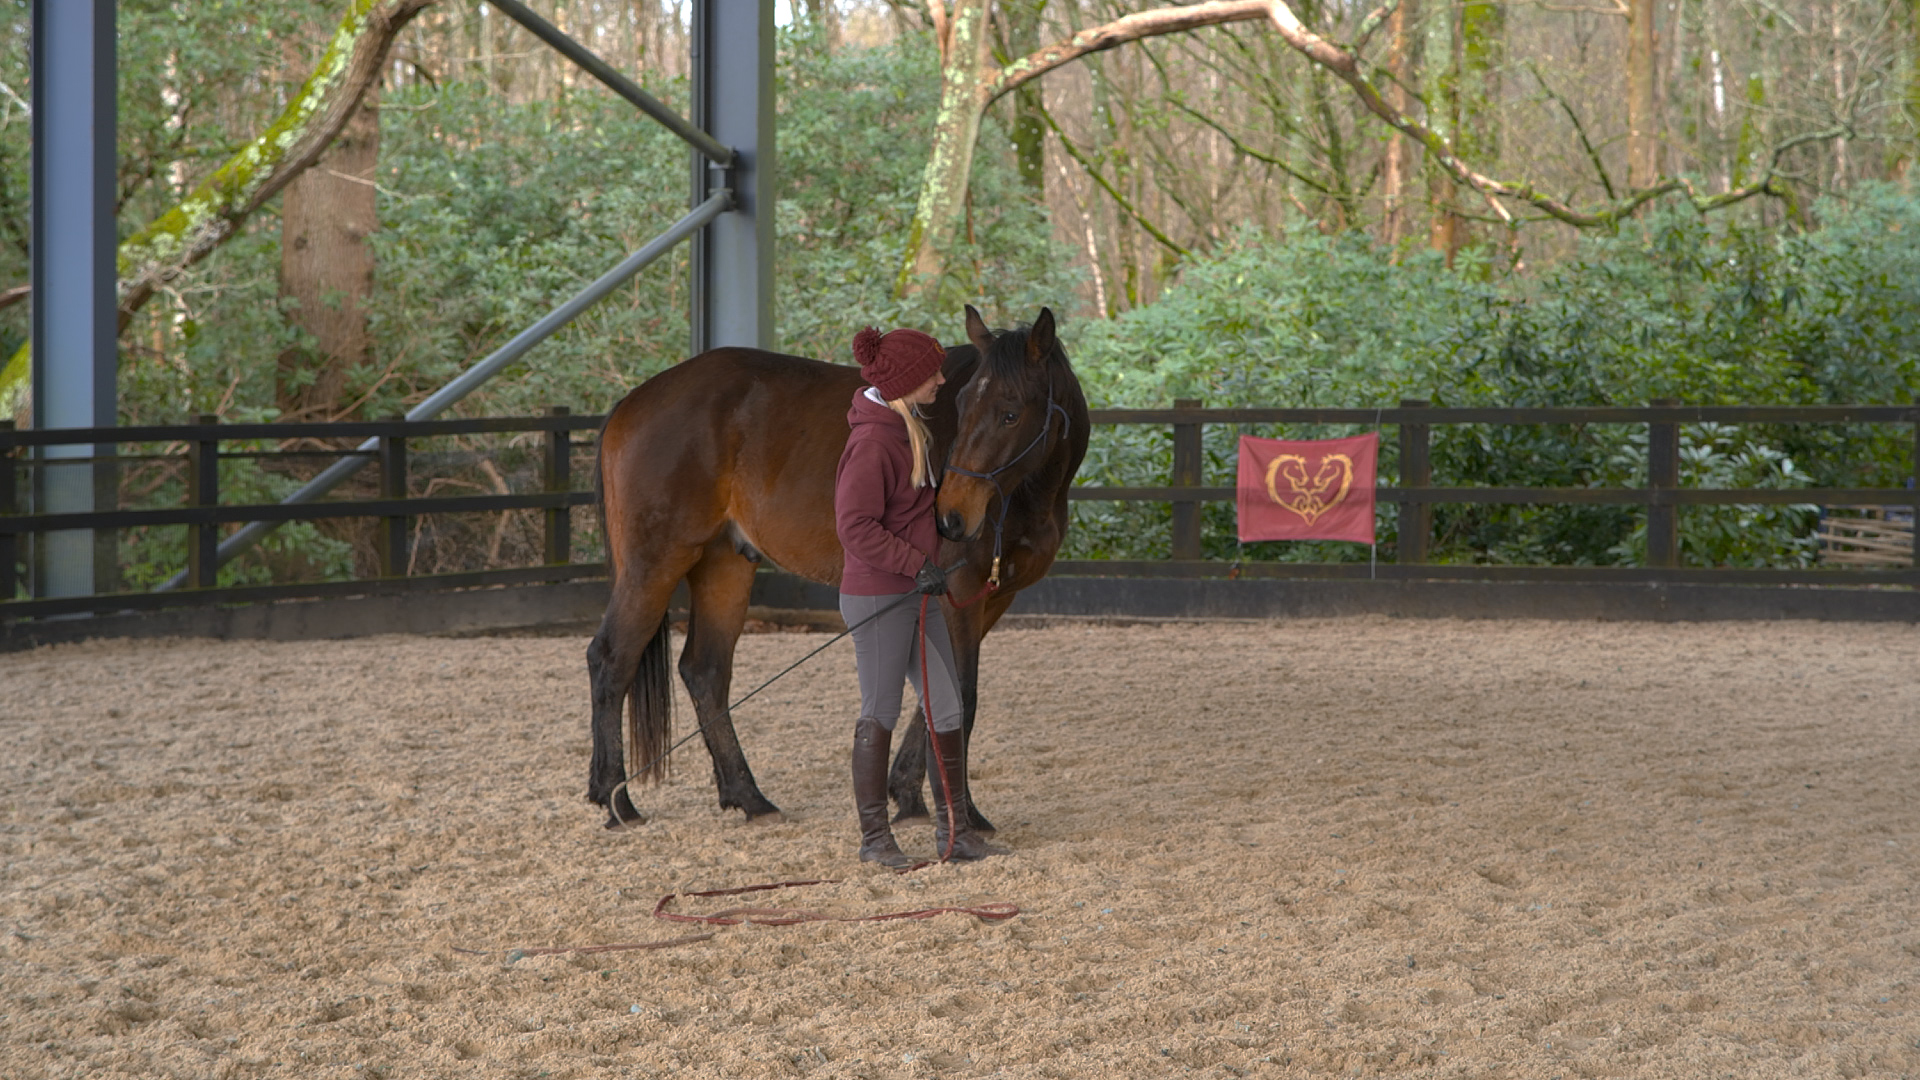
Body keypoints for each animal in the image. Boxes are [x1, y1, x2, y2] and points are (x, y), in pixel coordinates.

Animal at [586, 305, 1089, 831]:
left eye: (1010, 412)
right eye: (964, 403)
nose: (949, 517)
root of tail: (632, 402)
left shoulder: (991, 597)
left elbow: (936, 698)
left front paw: (907, 793)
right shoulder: (958, 592)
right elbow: (961, 697)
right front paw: (964, 814)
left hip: (724, 565)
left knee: (706, 671)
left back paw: (749, 797)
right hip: (654, 564)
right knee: (611, 660)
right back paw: (617, 801)